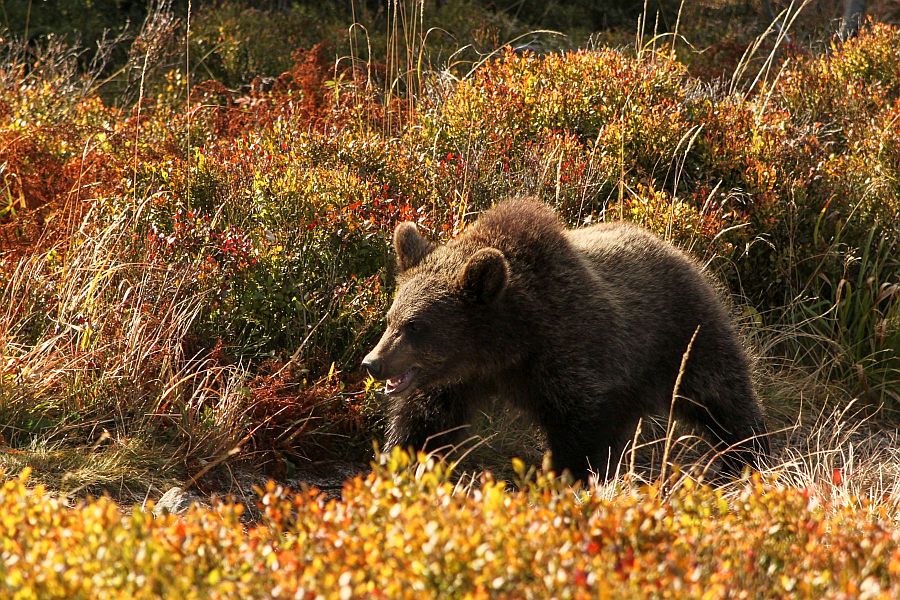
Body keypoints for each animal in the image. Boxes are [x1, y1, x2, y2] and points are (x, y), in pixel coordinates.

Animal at [362, 199, 768, 480]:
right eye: (391, 319)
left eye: (415, 325)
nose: (373, 363)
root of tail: (676, 248)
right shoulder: (454, 381)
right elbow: (424, 424)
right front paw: (400, 461)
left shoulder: (572, 358)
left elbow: (579, 436)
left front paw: (568, 477)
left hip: (686, 335)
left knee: (723, 397)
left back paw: (747, 455)